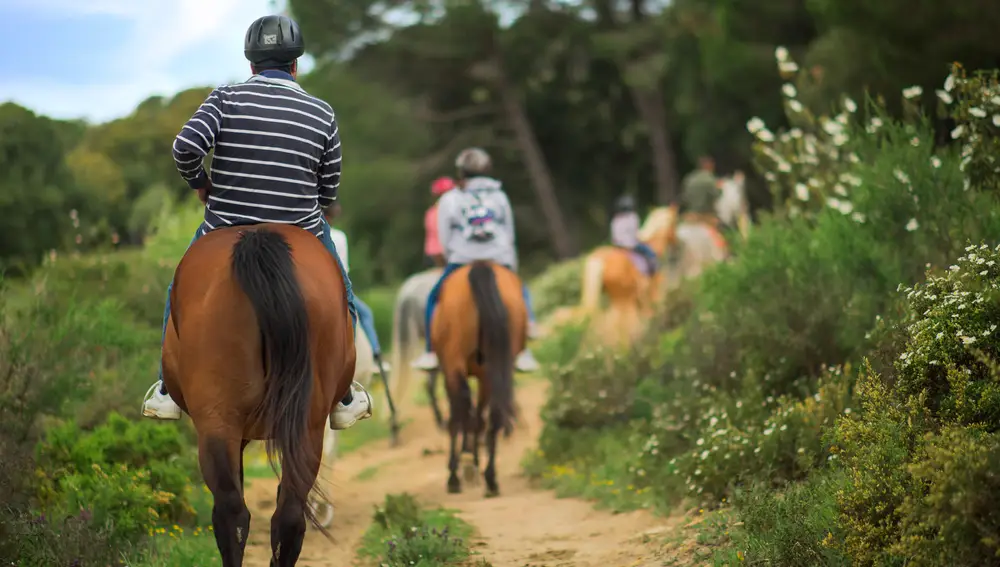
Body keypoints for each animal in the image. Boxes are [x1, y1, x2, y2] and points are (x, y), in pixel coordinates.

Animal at [430, 262, 524, 496]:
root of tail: (481, 265)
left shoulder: (450, 371)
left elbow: (460, 416)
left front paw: (460, 466)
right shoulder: (484, 376)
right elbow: (479, 418)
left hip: (454, 364)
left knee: (461, 410)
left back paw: (458, 473)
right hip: (496, 367)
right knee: (492, 414)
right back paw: (490, 477)